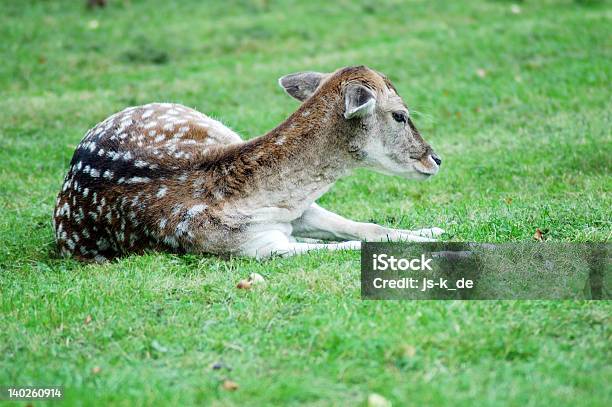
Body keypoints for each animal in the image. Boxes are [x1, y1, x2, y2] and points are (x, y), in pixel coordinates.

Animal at [52, 63, 442, 262]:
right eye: (400, 115)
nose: (435, 158)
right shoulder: (256, 248)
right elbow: (353, 244)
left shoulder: (299, 209)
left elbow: (368, 228)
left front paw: (432, 230)